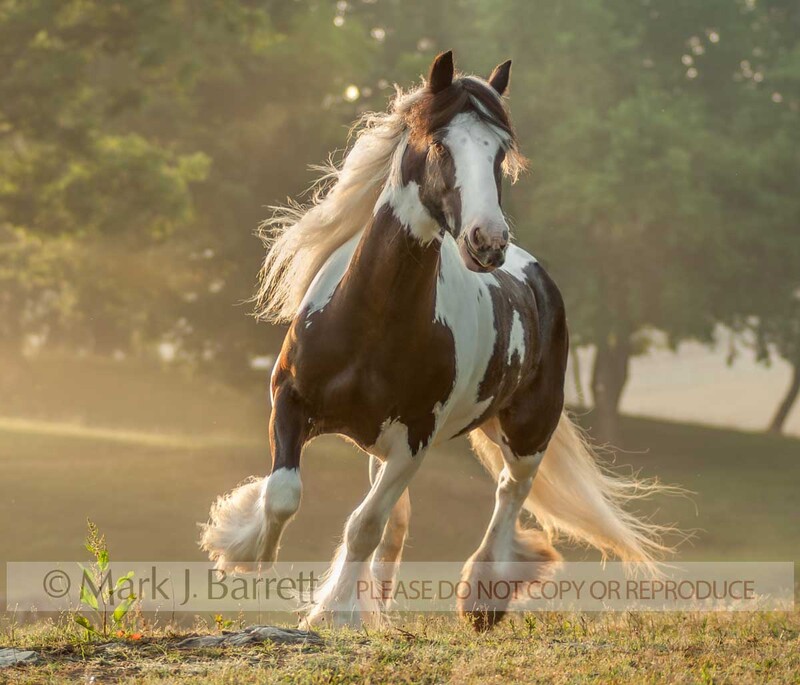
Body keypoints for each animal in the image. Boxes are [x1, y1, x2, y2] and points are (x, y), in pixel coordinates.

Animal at [200, 51, 670, 630]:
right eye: (443, 145)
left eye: (500, 152)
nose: (488, 242)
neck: (370, 322)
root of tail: (535, 276)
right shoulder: (290, 400)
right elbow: (284, 494)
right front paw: (243, 551)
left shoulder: (415, 441)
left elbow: (364, 524)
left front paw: (333, 614)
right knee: (400, 521)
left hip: (528, 430)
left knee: (509, 494)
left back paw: (483, 600)